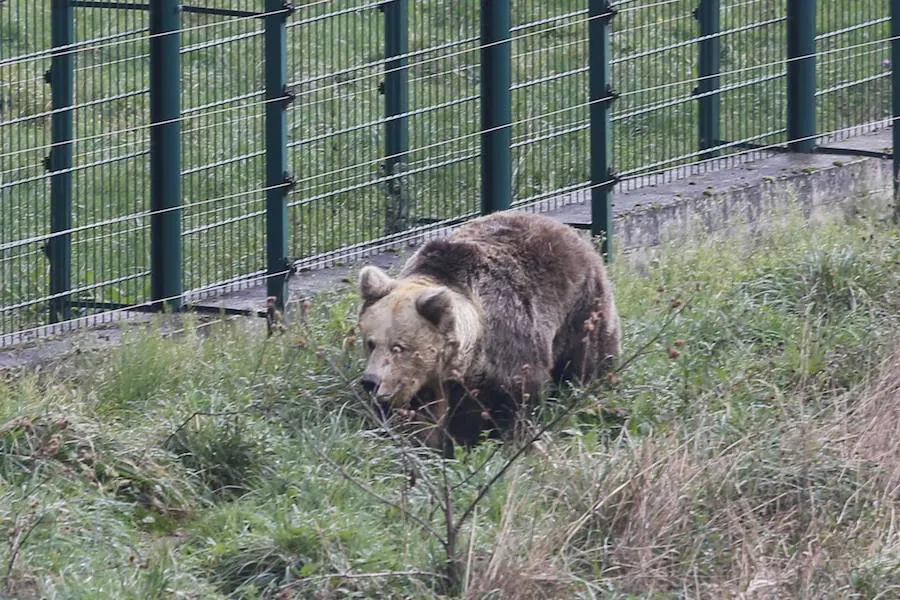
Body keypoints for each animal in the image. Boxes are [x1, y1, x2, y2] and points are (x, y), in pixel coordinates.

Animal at [356, 211, 624, 454]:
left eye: (398, 347)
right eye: (370, 342)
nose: (370, 382)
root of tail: (566, 228)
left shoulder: (505, 340)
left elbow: (510, 402)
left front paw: (484, 441)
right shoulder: (426, 379)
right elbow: (421, 416)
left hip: (582, 306)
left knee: (587, 358)